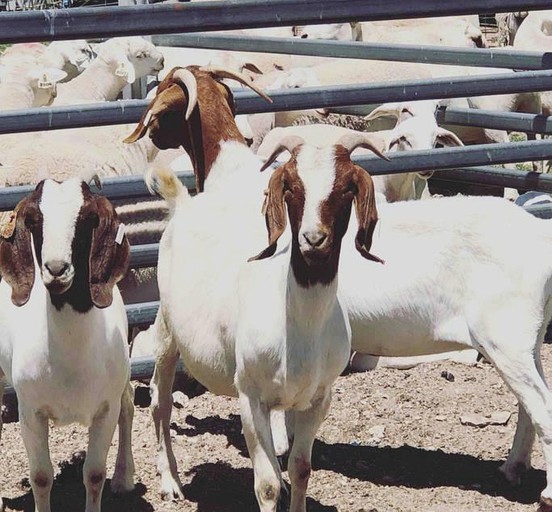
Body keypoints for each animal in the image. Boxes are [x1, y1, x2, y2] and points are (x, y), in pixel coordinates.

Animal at [0, 177, 135, 512]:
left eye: (87, 219)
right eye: (34, 221)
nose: (56, 269)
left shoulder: (105, 409)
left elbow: (95, 474)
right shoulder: (30, 411)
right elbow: (41, 477)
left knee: (128, 405)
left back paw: (124, 478)